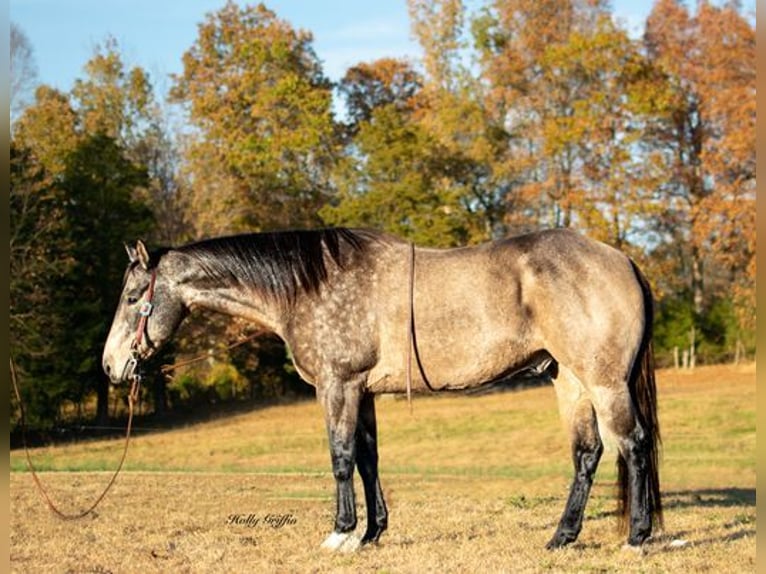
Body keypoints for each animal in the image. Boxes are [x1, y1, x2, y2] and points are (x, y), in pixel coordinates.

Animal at [102, 228, 664, 552]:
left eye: (132, 297)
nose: (111, 365)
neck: (311, 285)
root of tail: (623, 261)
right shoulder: (364, 392)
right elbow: (368, 459)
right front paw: (373, 532)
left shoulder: (338, 385)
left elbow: (340, 456)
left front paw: (341, 533)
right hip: (570, 381)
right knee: (587, 454)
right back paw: (561, 538)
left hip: (604, 382)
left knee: (633, 445)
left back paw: (636, 537)